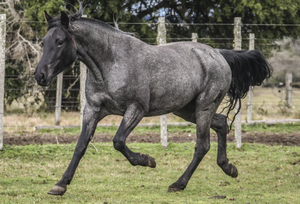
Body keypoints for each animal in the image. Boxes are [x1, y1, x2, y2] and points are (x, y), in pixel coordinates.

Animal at [33, 3, 272, 195]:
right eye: (44, 41)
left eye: (60, 41)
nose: (39, 75)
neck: (111, 63)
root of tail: (219, 54)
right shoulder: (93, 109)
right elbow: (81, 146)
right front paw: (60, 185)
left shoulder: (136, 109)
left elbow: (118, 141)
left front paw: (148, 161)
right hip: (186, 109)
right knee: (221, 123)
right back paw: (229, 168)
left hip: (204, 107)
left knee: (202, 145)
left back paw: (178, 184)